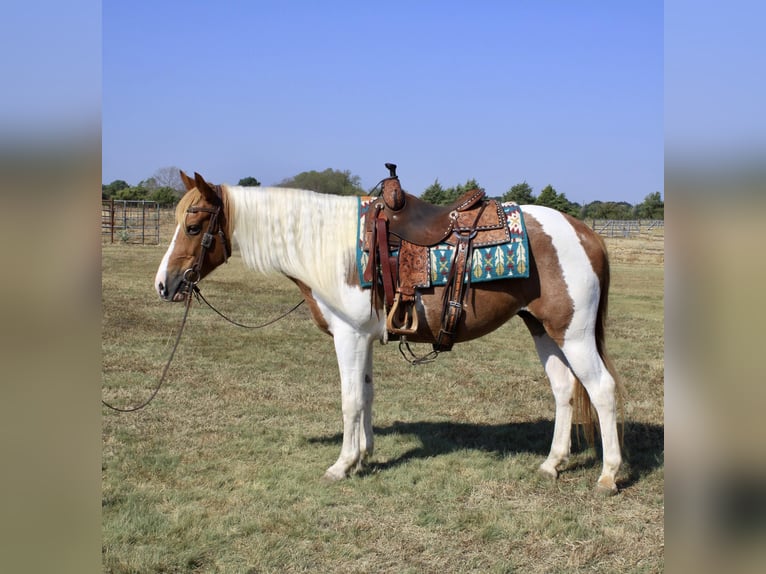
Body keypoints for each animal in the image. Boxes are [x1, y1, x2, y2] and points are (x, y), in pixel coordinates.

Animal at [154, 170, 624, 496]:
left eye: (193, 227)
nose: (164, 284)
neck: (332, 246)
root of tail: (586, 233)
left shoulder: (348, 336)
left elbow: (349, 400)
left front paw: (342, 465)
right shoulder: (363, 338)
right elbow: (366, 394)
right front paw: (364, 456)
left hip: (574, 334)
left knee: (601, 389)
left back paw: (608, 475)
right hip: (544, 330)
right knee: (564, 390)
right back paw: (552, 464)